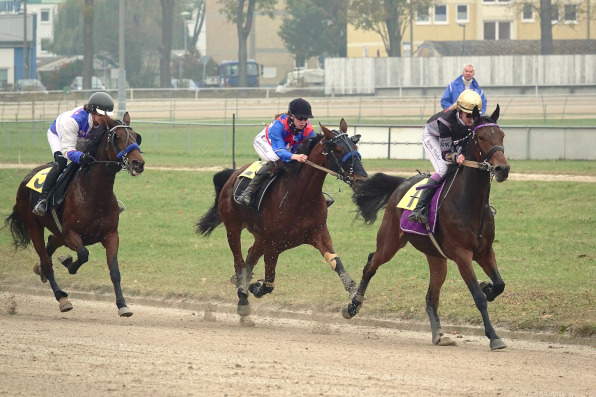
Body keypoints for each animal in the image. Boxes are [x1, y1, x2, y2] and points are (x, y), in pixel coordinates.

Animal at [4, 113, 144, 318]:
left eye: (135, 136)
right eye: (117, 137)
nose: (138, 163)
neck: (94, 193)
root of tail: (26, 178)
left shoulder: (111, 235)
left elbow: (114, 271)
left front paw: (122, 305)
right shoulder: (71, 234)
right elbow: (83, 255)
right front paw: (68, 262)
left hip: (58, 232)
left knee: (51, 244)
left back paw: (41, 270)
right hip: (33, 225)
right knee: (46, 261)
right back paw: (62, 298)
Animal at [197, 117, 368, 316]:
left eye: (355, 147)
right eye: (339, 150)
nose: (361, 180)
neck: (301, 198)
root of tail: (232, 175)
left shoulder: (319, 234)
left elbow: (337, 264)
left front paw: (353, 303)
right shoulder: (273, 244)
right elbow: (269, 282)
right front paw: (255, 287)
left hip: (259, 237)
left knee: (250, 257)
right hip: (233, 228)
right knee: (239, 261)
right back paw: (243, 297)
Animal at [344, 105, 512, 350]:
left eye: (501, 135)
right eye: (480, 137)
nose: (502, 169)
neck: (469, 203)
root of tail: (401, 183)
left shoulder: (485, 251)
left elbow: (500, 284)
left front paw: (488, 288)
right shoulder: (462, 255)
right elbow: (478, 298)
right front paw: (493, 336)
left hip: (436, 257)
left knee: (431, 296)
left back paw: (439, 335)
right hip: (390, 242)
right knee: (370, 264)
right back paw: (352, 306)